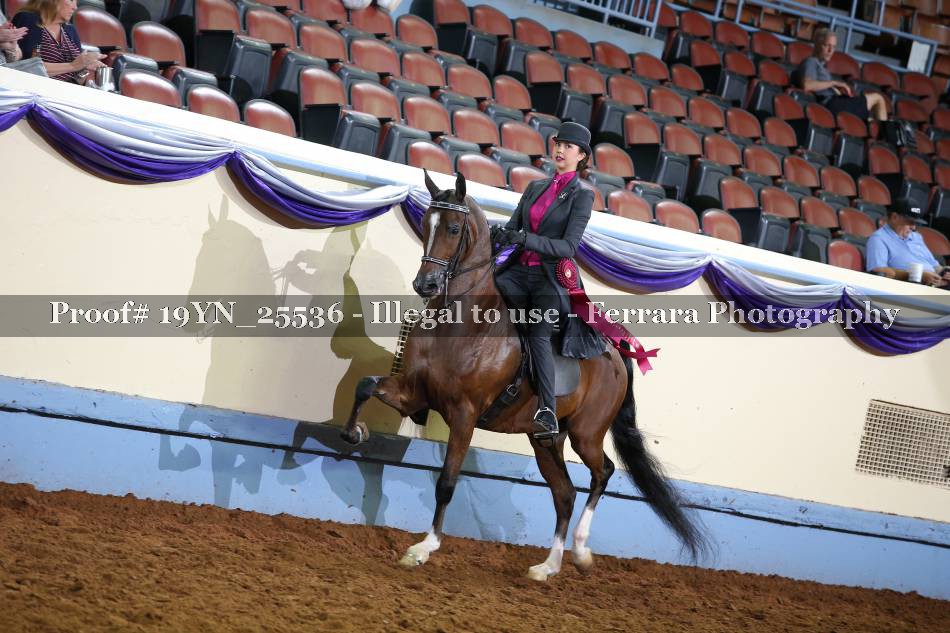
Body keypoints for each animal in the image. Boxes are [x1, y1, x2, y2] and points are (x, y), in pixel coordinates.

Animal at [340, 171, 706, 581]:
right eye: (425, 224)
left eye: (453, 228)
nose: (426, 285)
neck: (460, 322)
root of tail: (615, 352)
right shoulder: (413, 394)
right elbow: (365, 386)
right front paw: (355, 432)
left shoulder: (464, 415)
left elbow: (447, 482)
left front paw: (424, 547)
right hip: (546, 440)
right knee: (564, 494)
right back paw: (547, 566)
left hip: (586, 434)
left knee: (603, 473)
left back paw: (581, 552)